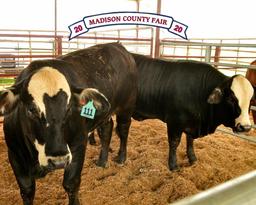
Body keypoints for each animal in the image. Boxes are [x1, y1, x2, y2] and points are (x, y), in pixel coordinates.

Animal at [0, 42, 137, 204]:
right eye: (31, 109)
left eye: (69, 108)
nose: (58, 160)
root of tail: (118, 45)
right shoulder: (15, 154)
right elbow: (27, 191)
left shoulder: (78, 144)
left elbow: (71, 184)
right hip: (106, 113)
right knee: (106, 131)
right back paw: (102, 161)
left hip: (127, 107)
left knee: (123, 130)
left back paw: (121, 158)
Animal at [90, 53, 254, 171]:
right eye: (231, 98)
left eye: (251, 100)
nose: (245, 127)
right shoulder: (175, 122)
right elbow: (174, 143)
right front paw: (173, 165)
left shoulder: (192, 122)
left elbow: (190, 141)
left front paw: (193, 159)